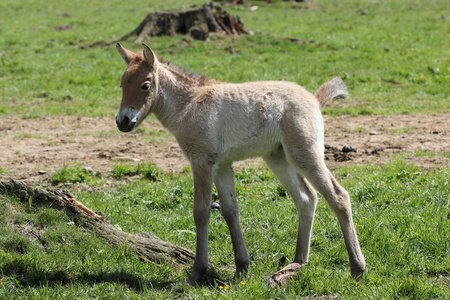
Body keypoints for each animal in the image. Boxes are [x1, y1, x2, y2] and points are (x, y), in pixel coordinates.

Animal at [116, 43, 366, 284]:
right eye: (121, 84)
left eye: (145, 85)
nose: (122, 121)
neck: (188, 104)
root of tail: (314, 99)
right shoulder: (222, 165)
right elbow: (229, 210)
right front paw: (241, 268)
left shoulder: (201, 161)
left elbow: (201, 212)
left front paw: (197, 273)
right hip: (278, 158)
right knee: (306, 198)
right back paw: (298, 262)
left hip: (304, 153)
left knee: (338, 196)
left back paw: (357, 268)